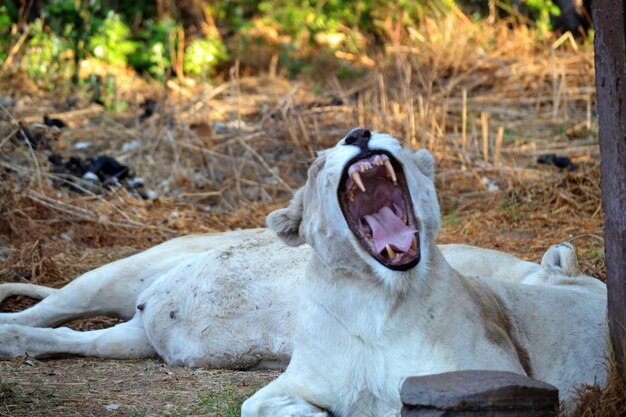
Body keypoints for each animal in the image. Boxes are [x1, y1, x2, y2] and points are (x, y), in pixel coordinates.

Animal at [0, 129, 604, 412]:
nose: (358, 133)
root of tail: (148, 312)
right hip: (125, 272)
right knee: (54, 306)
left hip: (136, 336)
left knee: (71, 339)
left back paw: (13, 342)